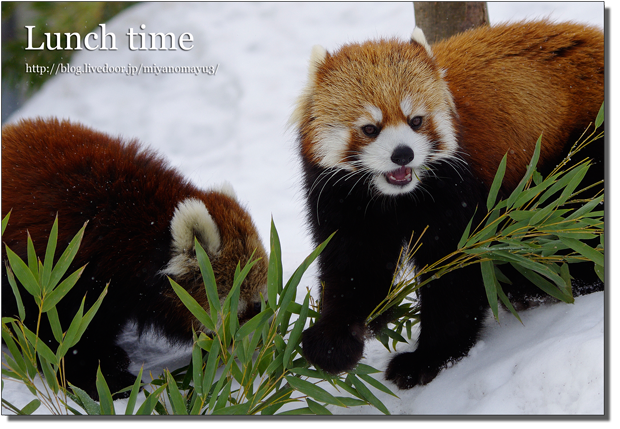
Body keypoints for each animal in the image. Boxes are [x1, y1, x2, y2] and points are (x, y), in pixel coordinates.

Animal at [2, 117, 268, 398]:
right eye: (254, 306)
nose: (263, 340)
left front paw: (109, 358)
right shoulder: (50, 270)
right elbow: (50, 333)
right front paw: (104, 381)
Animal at [294, 20, 604, 388]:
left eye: (416, 121)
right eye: (370, 128)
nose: (403, 154)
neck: (396, 198)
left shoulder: (457, 188)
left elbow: (456, 273)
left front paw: (429, 357)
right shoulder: (341, 198)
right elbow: (354, 269)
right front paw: (333, 342)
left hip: (583, 149)